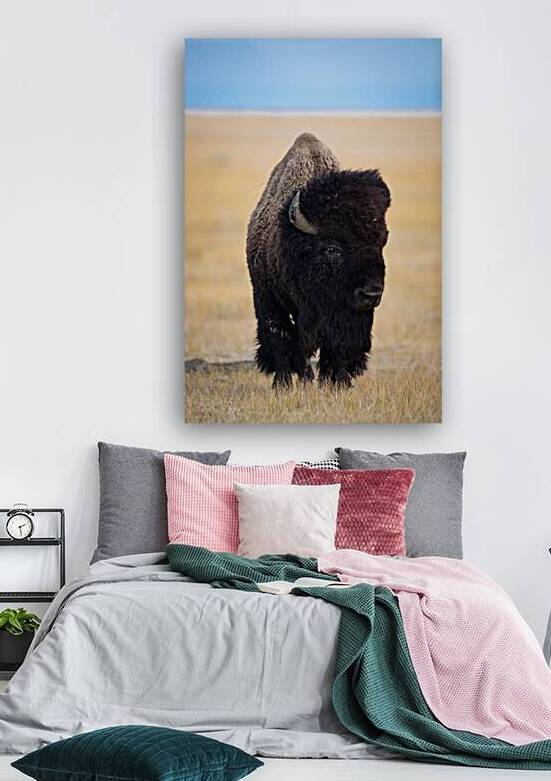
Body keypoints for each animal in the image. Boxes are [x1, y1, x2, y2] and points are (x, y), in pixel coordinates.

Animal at [246, 132, 391, 389]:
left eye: (381, 243)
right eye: (332, 248)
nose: (371, 293)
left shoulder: (347, 315)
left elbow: (340, 345)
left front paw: (339, 383)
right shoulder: (267, 298)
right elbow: (282, 339)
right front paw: (284, 385)